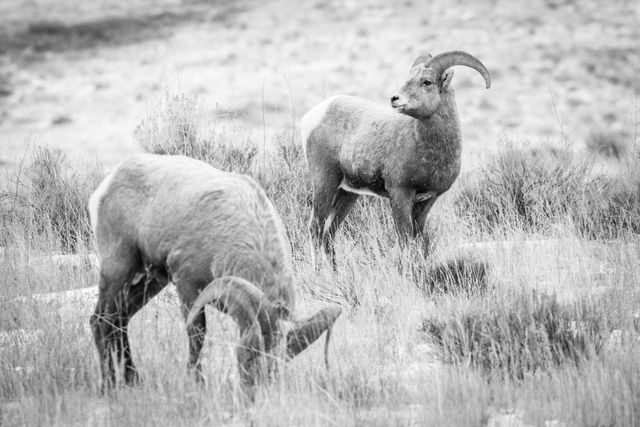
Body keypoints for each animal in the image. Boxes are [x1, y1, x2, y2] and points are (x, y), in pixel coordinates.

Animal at [89, 155, 344, 390]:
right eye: (247, 357)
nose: (254, 391)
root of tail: (108, 183)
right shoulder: (187, 286)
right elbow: (197, 335)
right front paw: (197, 382)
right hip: (118, 269)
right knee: (101, 320)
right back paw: (108, 385)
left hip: (150, 282)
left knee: (120, 319)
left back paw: (133, 380)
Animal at [300, 50, 490, 264]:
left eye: (427, 82)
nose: (394, 99)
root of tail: (313, 115)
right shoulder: (400, 194)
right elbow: (405, 240)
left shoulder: (426, 201)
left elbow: (419, 240)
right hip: (325, 182)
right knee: (315, 228)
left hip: (348, 193)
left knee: (329, 233)